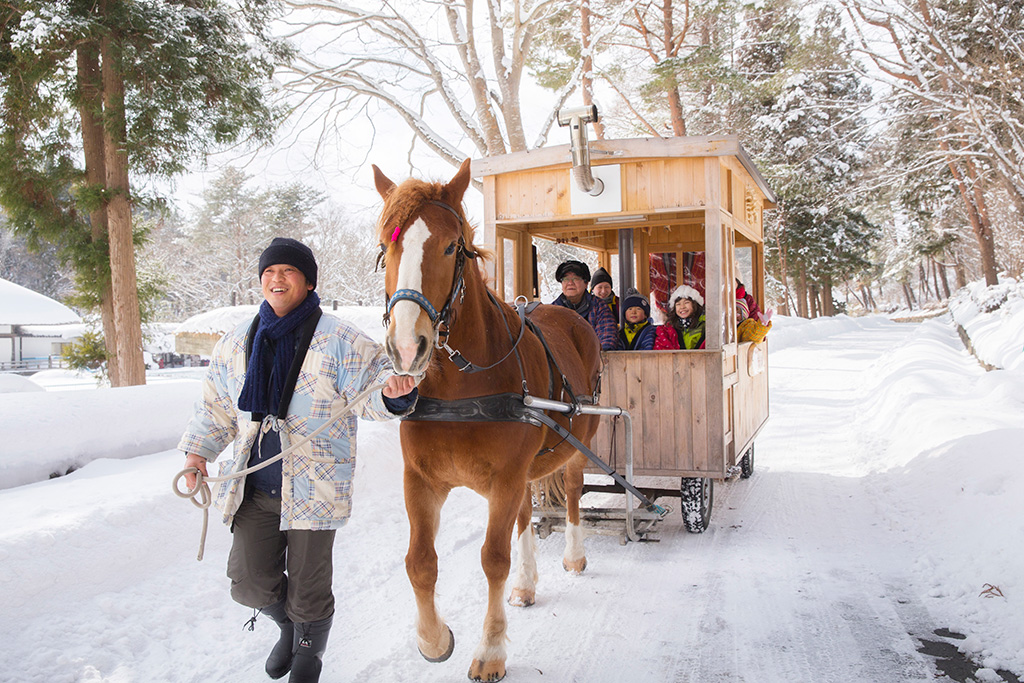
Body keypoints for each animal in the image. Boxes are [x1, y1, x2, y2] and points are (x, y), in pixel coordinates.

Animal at [373, 158, 603, 681]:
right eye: (385, 247)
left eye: (450, 246)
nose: (407, 348)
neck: (463, 388)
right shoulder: (422, 480)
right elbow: (420, 562)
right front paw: (434, 639)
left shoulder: (505, 478)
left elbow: (493, 558)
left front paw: (492, 649)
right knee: (524, 516)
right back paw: (526, 584)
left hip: (576, 444)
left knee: (573, 493)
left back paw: (574, 555)